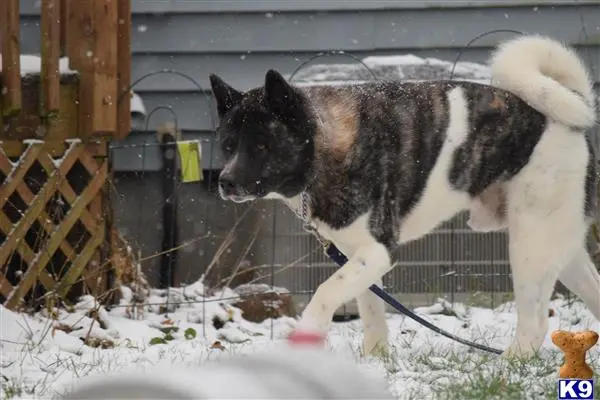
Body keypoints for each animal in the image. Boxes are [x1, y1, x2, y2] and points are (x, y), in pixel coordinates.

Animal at [210, 36, 600, 358]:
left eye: (262, 146)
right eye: (228, 145)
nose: (226, 182)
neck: (323, 143)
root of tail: (568, 118)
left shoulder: (378, 251)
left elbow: (326, 292)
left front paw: (307, 335)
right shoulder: (358, 256)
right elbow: (370, 310)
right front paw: (376, 360)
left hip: (530, 247)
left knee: (535, 325)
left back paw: (507, 366)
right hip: (560, 247)